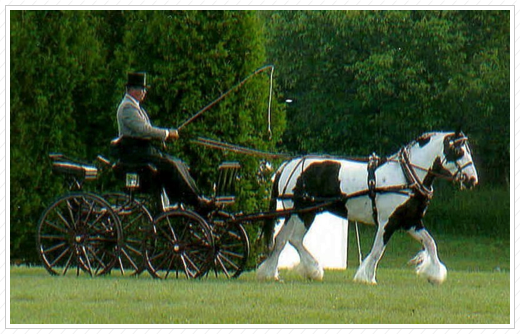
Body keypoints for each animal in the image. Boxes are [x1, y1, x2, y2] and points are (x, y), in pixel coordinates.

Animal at [256, 130, 480, 284]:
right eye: (458, 151)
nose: (472, 180)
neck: (405, 177)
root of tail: (288, 165)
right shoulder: (387, 222)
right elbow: (377, 250)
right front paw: (366, 276)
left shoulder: (411, 222)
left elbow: (431, 243)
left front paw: (434, 275)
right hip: (303, 213)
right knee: (291, 239)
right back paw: (310, 269)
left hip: (297, 213)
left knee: (283, 239)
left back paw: (273, 272)